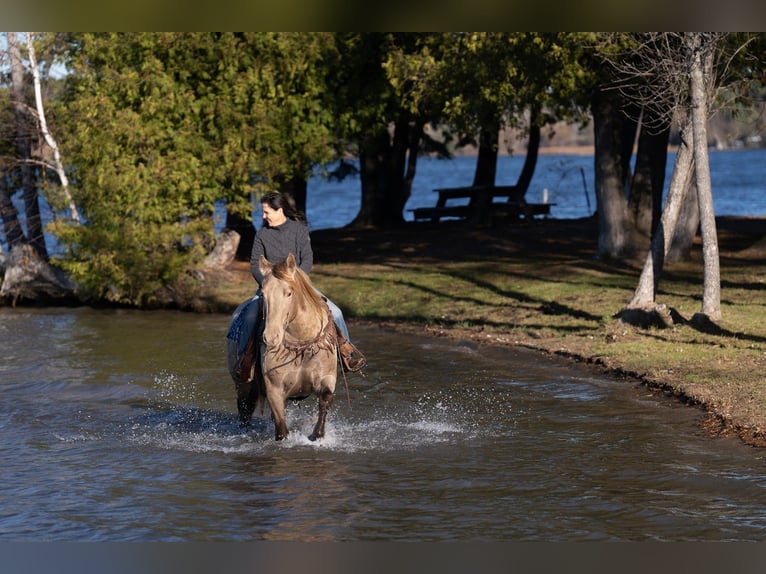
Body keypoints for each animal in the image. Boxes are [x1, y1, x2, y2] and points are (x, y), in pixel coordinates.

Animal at [228, 253, 339, 441]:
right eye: (263, 294)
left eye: (289, 293)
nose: (271, 337)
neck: (301, 345)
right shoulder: (274, 390)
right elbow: (281, 430)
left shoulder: (327, 378)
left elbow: (325, 400)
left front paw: (316, 435)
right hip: (243, 385)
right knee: (244, 410)